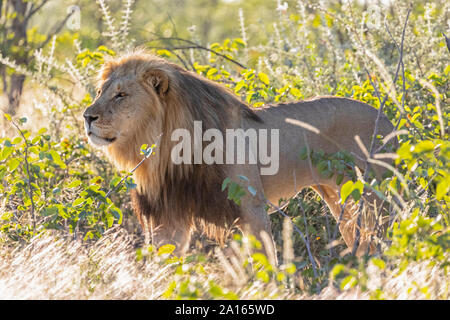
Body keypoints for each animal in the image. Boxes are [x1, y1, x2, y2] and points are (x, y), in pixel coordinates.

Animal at [82, 50, 396, 260]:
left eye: (121, 95)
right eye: (99, 92)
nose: (87, 116)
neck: (164, 150)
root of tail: (387, 119)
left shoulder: (251, 208)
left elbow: (266, 262)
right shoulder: (168, 215)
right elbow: (167, 263)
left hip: (374, 198)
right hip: (339, 198)